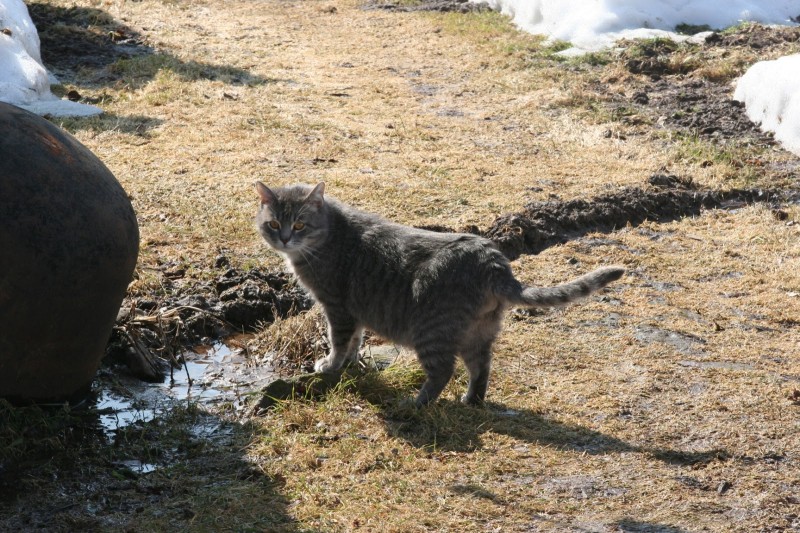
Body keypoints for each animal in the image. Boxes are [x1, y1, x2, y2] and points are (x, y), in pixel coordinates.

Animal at [256, 181, 624, 406]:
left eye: (299, 224)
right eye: (273, 224)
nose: (284, 238)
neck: (329, 235)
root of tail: (492, 260)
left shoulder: (337, 307)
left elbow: (339, 340)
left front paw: (331, 365)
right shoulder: (353, 311)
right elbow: (355, 341)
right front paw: (347, 364)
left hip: (431, 331)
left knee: (443, 371)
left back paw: (415, 403)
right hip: (480, 331)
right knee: (481, 367)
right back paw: (472, 401)